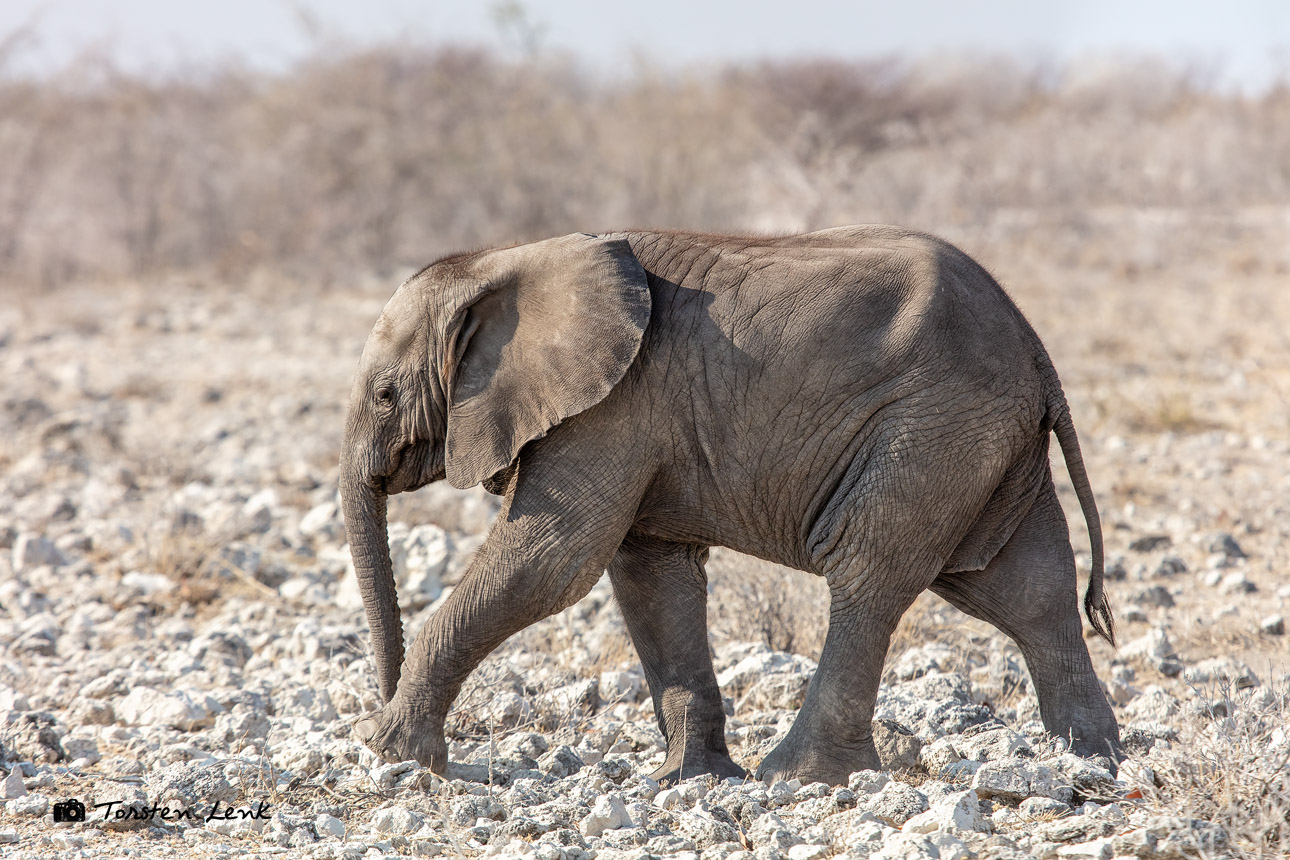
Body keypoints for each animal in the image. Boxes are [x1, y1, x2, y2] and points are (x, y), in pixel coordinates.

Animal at [343, 226, 1119, 789]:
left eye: (384, 395)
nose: (380, 699)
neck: (503, 262)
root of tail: (1036, 348)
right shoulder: (635, 416)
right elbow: (650, 578)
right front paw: (688, 781)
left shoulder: (611, 408)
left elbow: (550, 562)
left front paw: (389, 753)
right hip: (988, 442)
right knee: (1027, 589)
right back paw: (1091, 762)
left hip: (933, 429)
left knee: (867, 573)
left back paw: (796, 778)